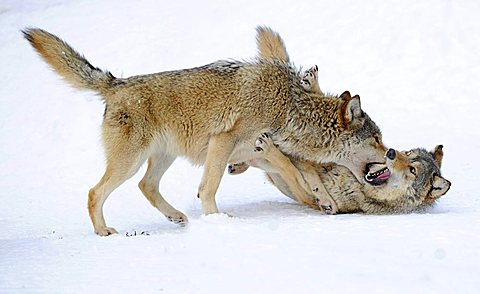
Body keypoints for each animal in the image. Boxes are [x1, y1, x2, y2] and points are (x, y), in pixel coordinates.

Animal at [25, 26, 386, 235]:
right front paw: (216, 219)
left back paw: (176, 218)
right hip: (129, 163)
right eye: (378, 139)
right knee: (94, 192)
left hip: (160, 158)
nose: (391, 152)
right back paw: (104, 232)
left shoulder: (255, 153)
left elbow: (302, 170)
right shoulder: (224, 142)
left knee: (146, 186)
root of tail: (115, 83)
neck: (289, 108)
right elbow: (211, 185)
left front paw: (324, 201)